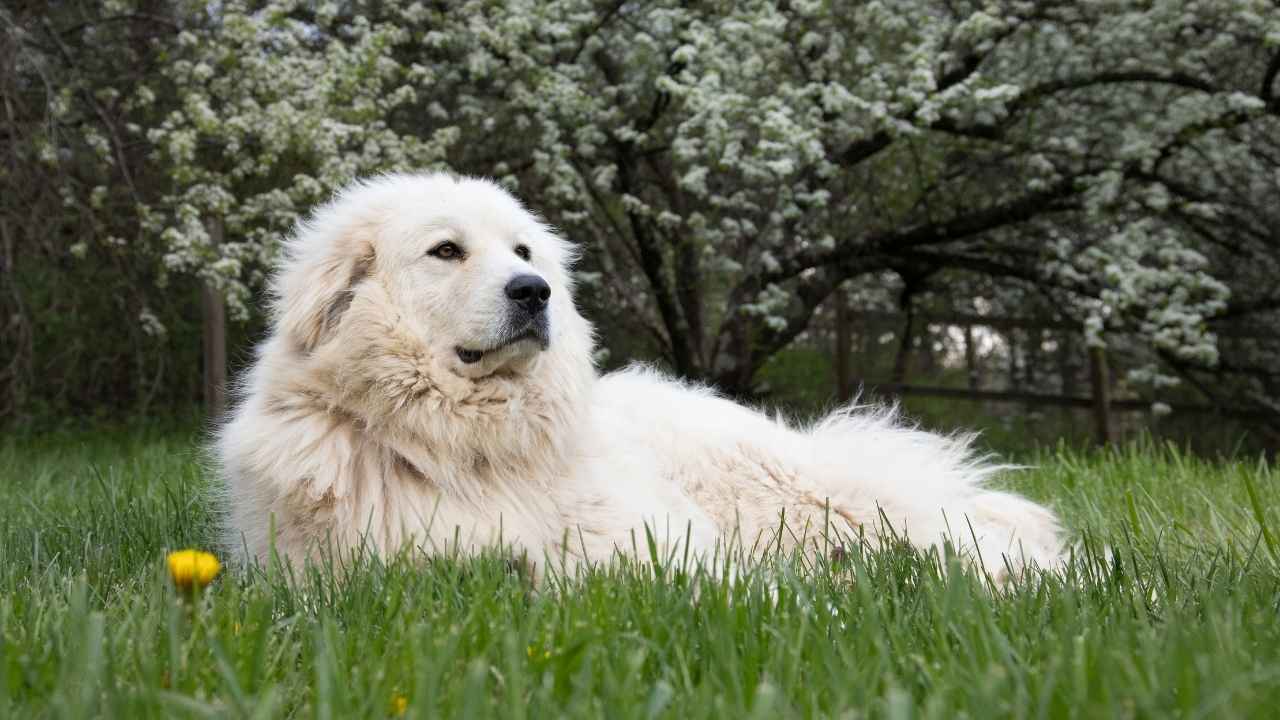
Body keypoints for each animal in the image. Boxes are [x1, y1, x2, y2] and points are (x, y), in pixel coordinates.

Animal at [215, 172, 1064, 576]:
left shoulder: (654, 543)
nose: (535, 293)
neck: (466, 445)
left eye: (522, 251)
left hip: (815, 499)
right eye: (446, 251)